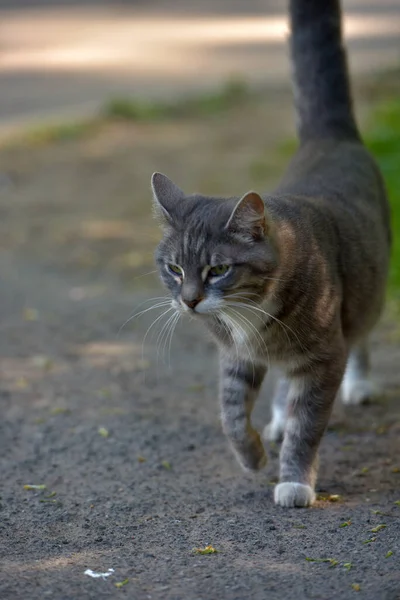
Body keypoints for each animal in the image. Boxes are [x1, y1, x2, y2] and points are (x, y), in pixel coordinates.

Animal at [150, 0, 390, 506]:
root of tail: (329, 138)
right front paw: (253, 456)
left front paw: (295, 481)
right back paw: (277, 417)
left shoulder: (324, 356)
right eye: (174, 267)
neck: (248, 315)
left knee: (361, 332)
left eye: (218, 269)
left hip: (368, 293)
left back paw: (359, 384)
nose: (190, 300)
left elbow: (308, 425)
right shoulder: (236, 356)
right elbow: (230, 413)